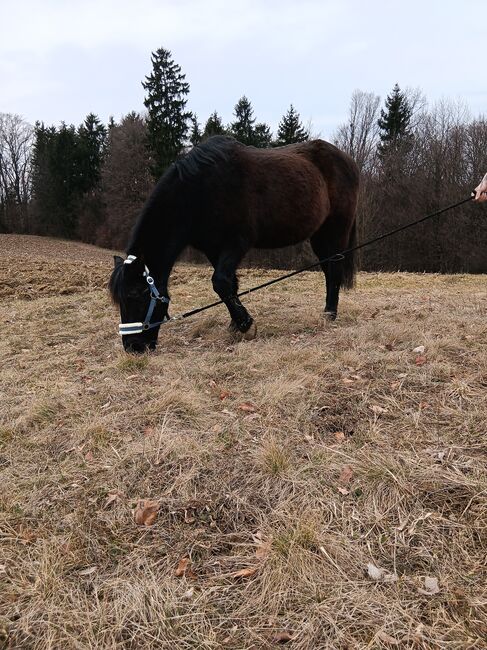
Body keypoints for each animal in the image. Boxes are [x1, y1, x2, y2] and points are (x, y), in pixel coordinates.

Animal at [111, 134, 362, 352]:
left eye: (137, 295)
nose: (133, 347)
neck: (199, 191)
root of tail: (348, 160)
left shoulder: (237, 243)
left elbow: (221, 282)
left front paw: (246, 324)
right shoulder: (213, 248)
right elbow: (229, 285)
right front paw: (235, 324)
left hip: (336, 229)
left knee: (335, 270)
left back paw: (330, 314)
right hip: (319, 236)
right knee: (329, 270)